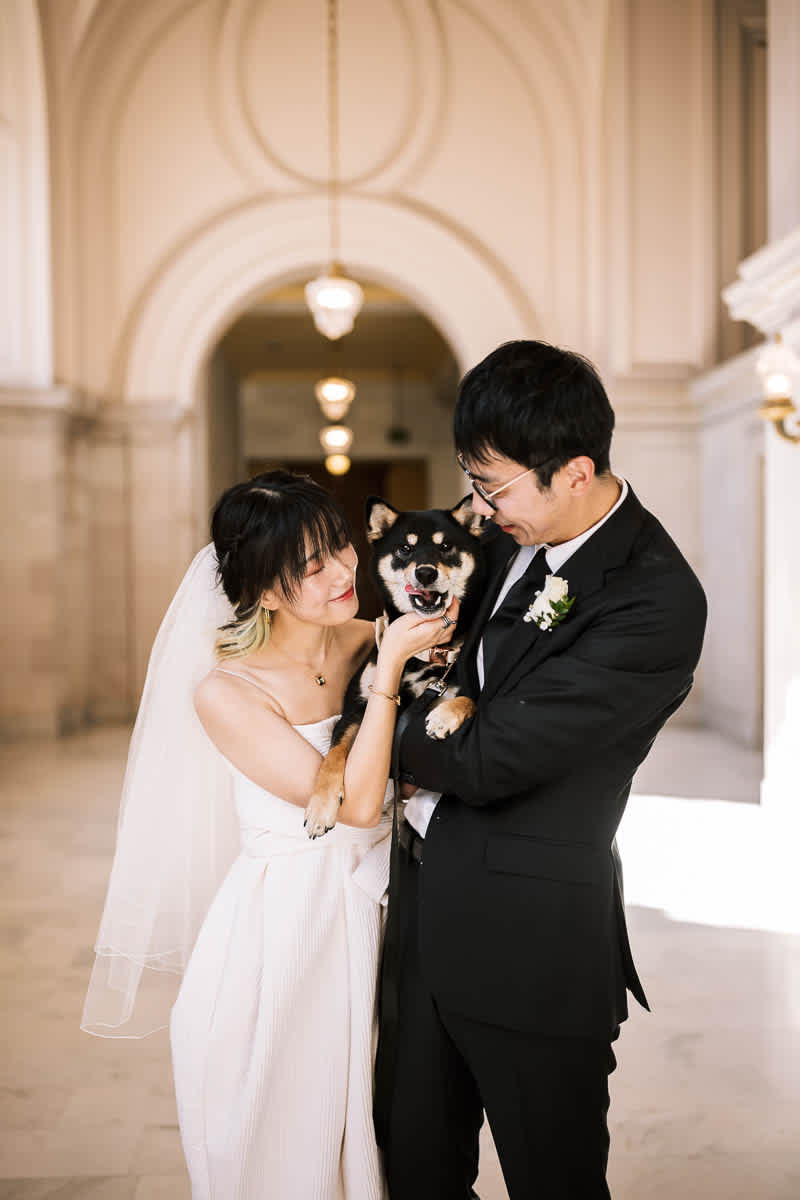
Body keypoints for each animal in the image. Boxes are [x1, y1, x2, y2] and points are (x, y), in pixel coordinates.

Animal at [303, 492, 484, 840]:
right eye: (405, 548)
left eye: (445, 546)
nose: (425, 573)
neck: (419, 656)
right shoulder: (357, 708)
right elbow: (332, 757)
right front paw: (320, 807)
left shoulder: (456, 684)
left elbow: (470, 700)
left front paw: (443, 717)